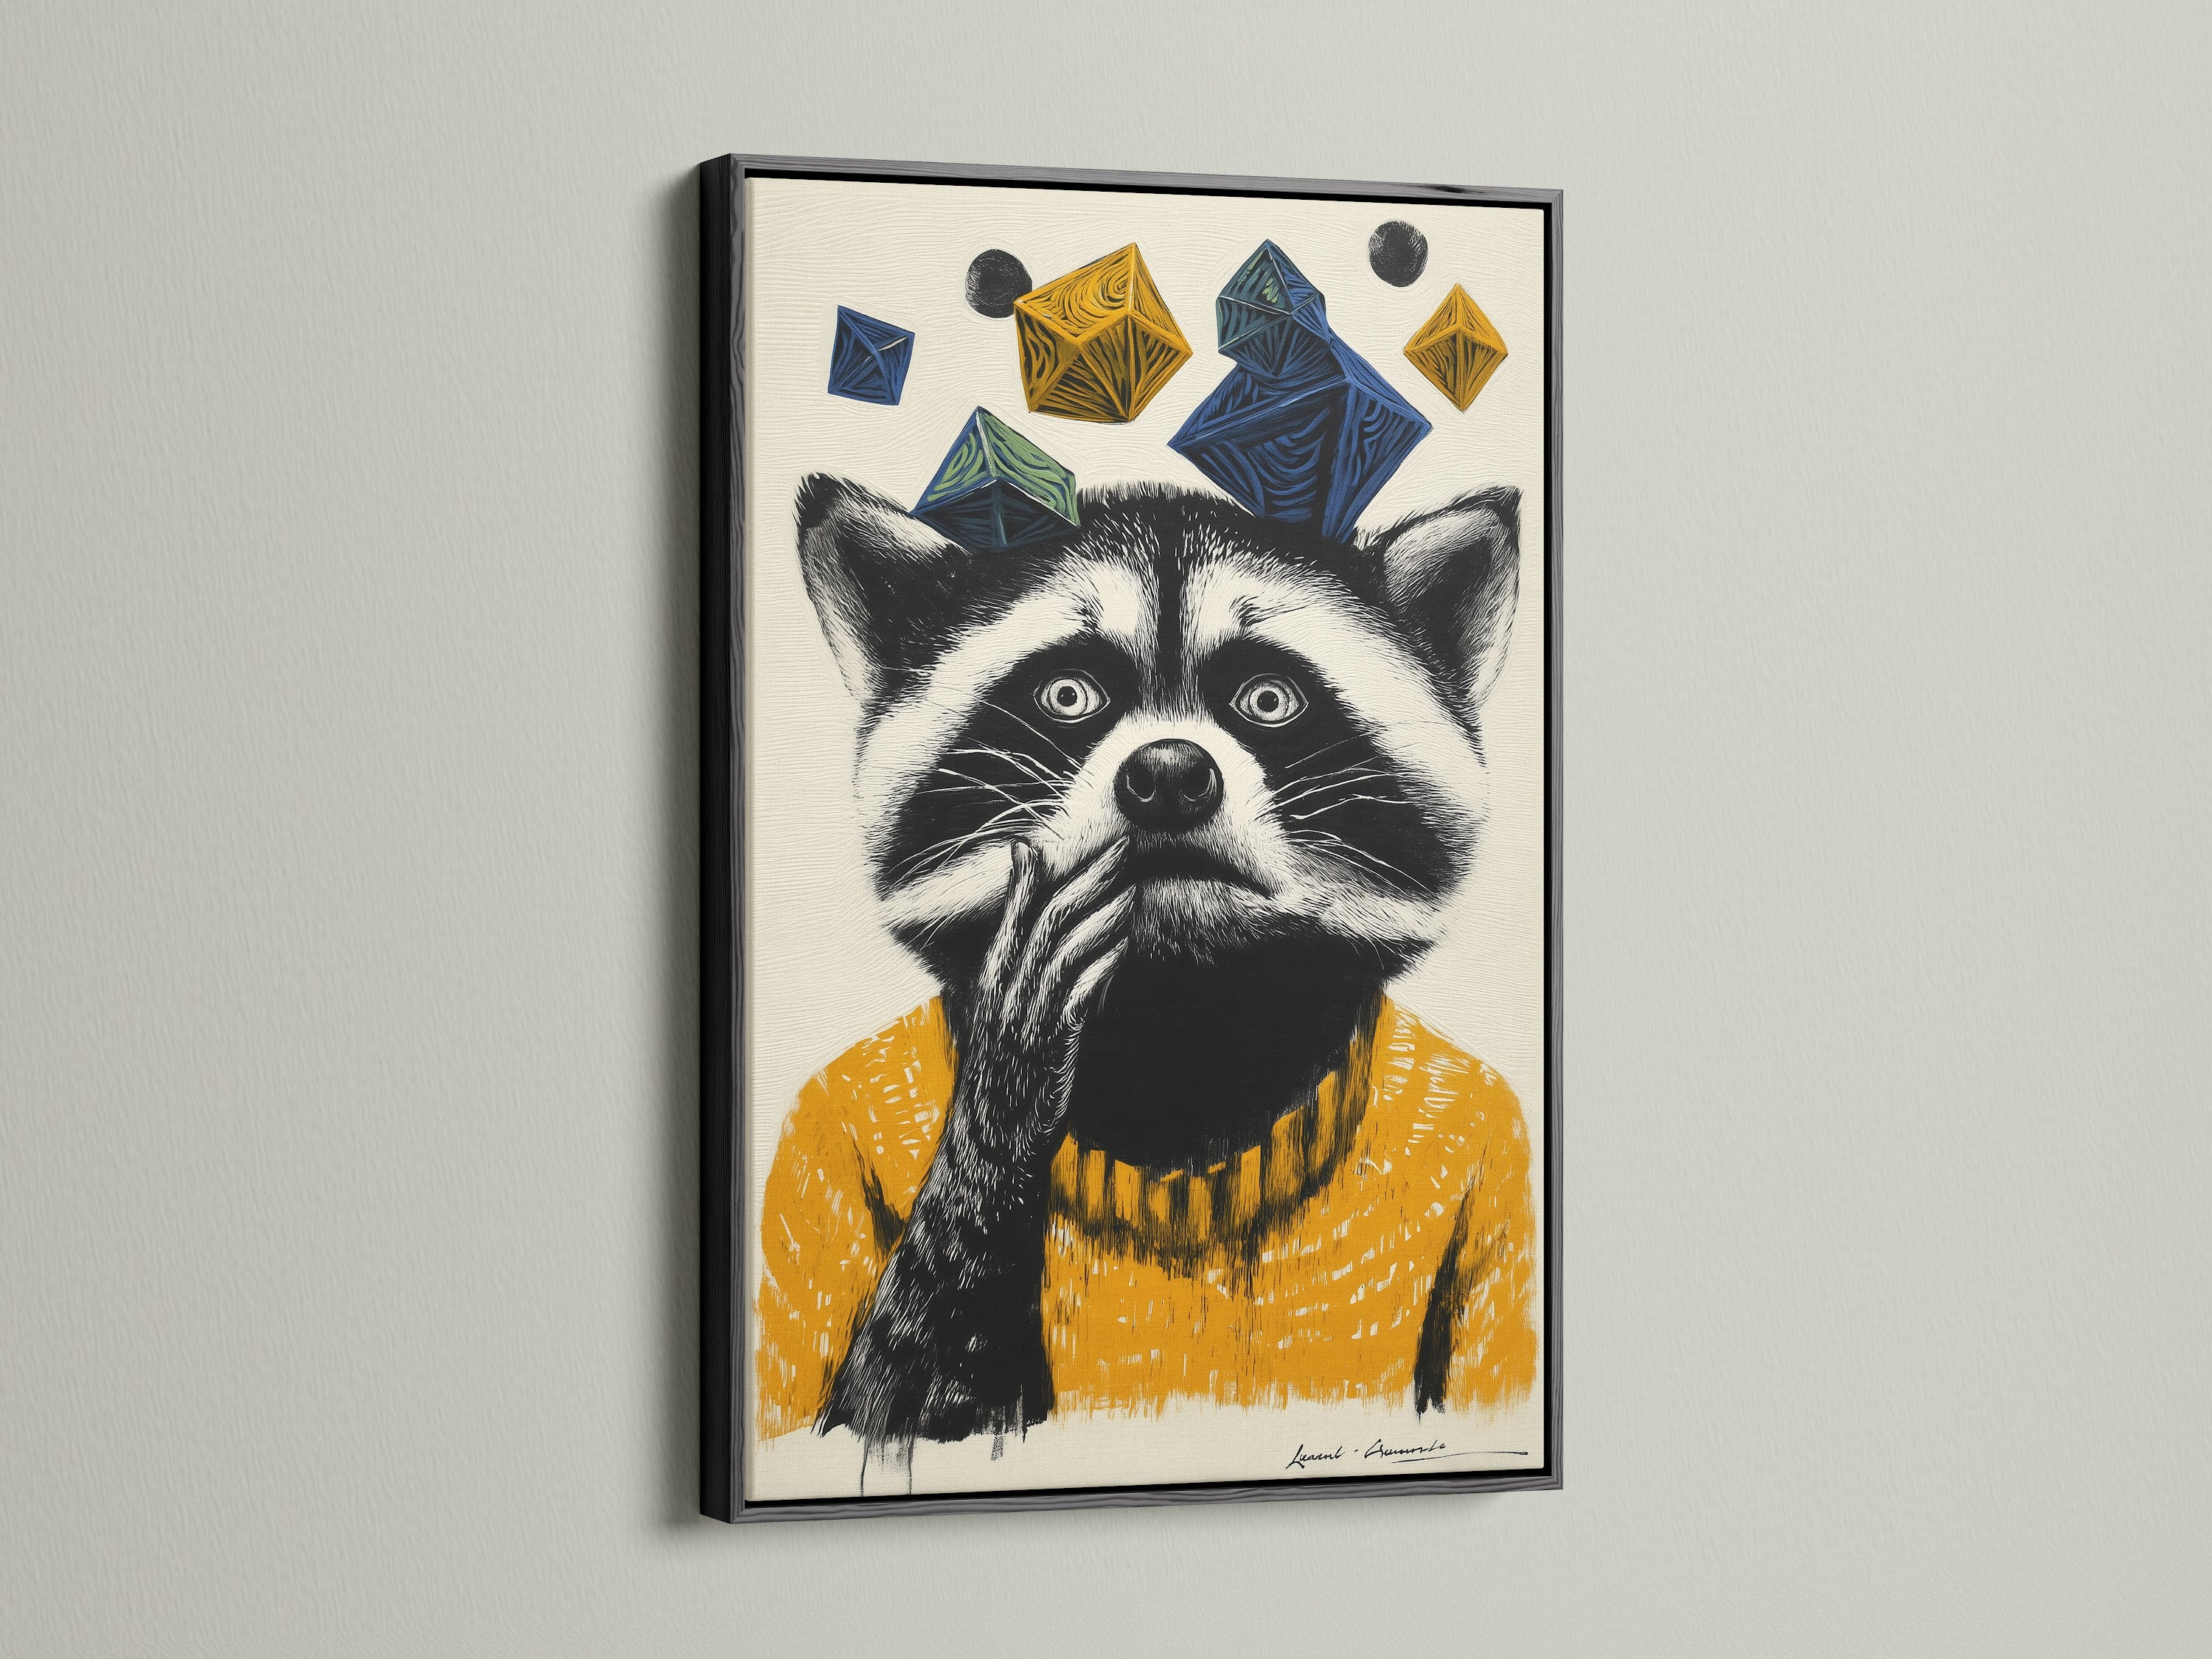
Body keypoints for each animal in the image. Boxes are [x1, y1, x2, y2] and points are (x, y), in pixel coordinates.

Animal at [764, 477, 1531, 1449]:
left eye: (1269, 699)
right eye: (1067, 694)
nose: (1168, 775)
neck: (1178, 1019)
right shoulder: (819, 1143)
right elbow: (887, 1405)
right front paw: (1009, 1088)